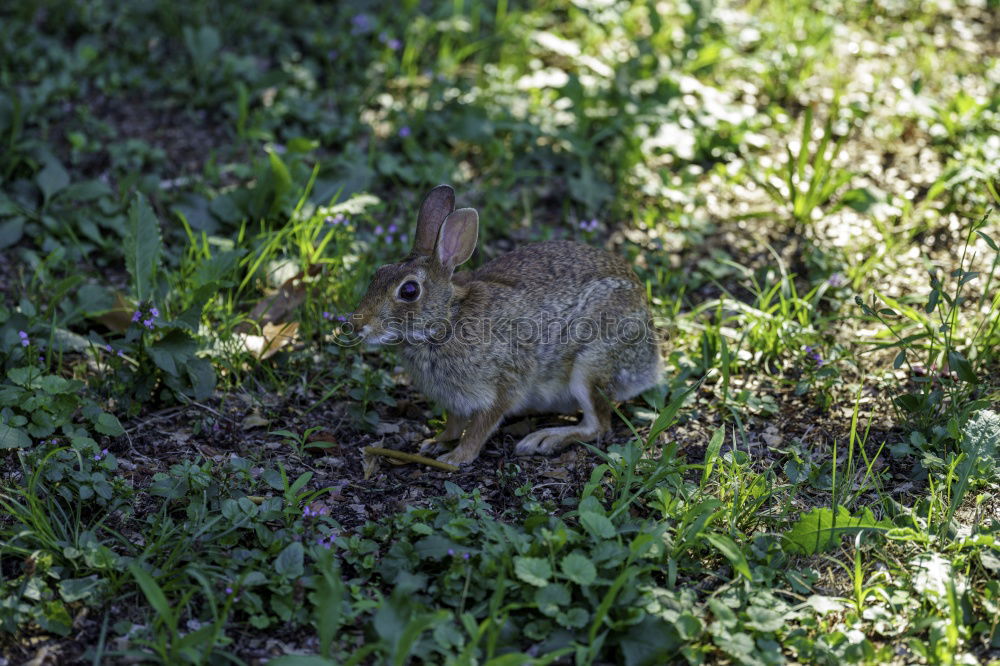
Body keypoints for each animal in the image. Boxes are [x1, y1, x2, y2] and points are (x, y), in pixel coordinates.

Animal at [352, 182, 664, 462]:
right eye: (379, 273)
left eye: (409, 291)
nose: (357, 324)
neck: (446, 321)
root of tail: (649, 363)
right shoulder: (454, 399)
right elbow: (454, 423)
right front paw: (436, 442)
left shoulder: (505, 384)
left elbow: (480, 427)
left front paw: (456, 457)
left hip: (592, 365)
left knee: (598, 425)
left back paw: (544, 439)